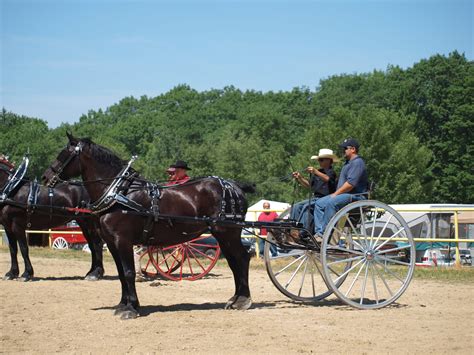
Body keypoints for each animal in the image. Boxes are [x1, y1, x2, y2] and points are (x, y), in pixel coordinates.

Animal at [42, 134, 254, 320]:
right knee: (235, 262)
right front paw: (123, 304)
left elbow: (128, 273)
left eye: (64, 154)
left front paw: (131, 308)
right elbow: (121, 273)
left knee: (242, 259)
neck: (119, 193)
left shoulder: (123, 241)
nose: (45, 177)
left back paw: (243, 300)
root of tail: (234, 186)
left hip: (228, 232)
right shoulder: (112, 243)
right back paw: (235, 299)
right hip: (223, 235)